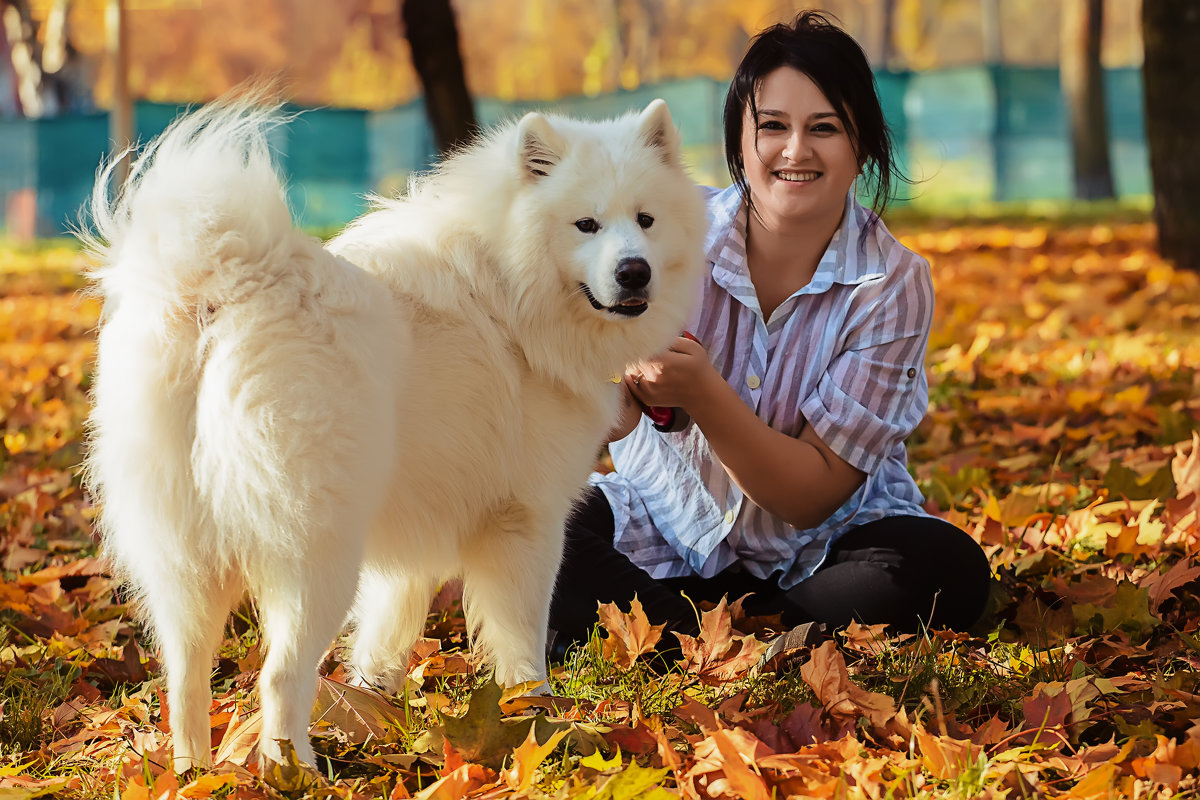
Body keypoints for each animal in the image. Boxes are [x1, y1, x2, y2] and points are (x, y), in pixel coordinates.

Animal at [84, 97, 705, 772]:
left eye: (645, 219)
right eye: (585, 224)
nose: (634, 272)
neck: (511, 283)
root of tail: (223, 295)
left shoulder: (415, 541)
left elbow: (385, 635)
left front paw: (375, 704)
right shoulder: (527, 523)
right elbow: (523, 642)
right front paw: (537, 721)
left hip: (186, 563)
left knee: (185, 680)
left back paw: (196, 773)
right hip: (316, 556)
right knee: (279, 677)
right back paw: (297, 771)